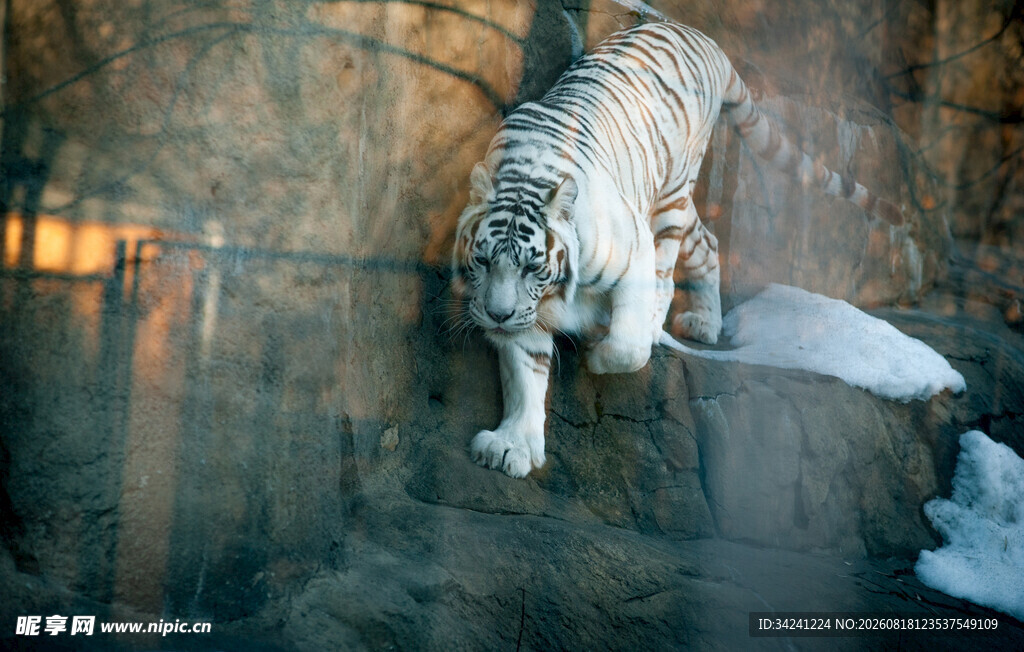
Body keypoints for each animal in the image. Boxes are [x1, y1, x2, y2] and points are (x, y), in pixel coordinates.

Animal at [451, 21, 903, 478]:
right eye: (483, 261)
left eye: (533, 268)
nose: (497, 315)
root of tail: (702, 38)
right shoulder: (525, 311)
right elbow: (525, 372)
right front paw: (511, 447)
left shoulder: (631, 251)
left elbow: (627, 347)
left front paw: (599, 355)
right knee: (708, 243)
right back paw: (705, 322)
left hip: (671, 195)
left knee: (666, 275)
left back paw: (664, 324)